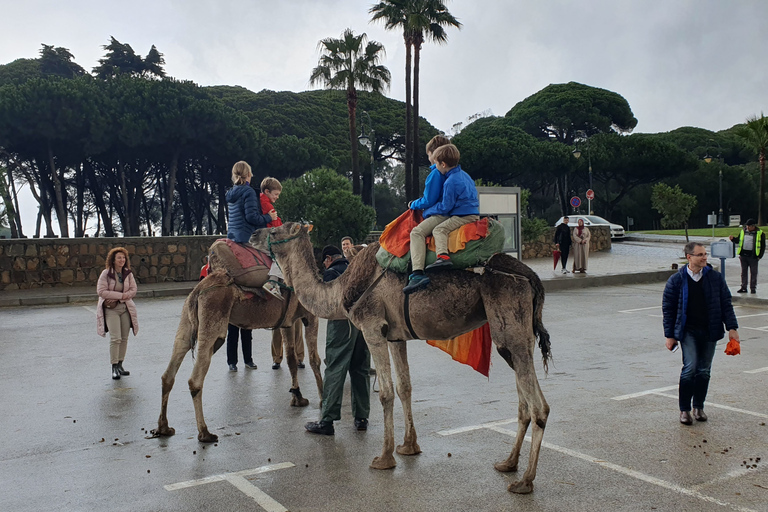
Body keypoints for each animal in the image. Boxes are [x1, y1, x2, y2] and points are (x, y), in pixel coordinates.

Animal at [152, 272, 322, 444]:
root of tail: (197, 290)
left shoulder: (287, 322)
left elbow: (291, 358)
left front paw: (298, 397)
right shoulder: (310, 314)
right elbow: (315, 360)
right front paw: (322, 401)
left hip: (186, 320)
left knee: (169, 371)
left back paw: (164, 428)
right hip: (212, 321)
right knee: (195, 379)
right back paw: (205, 433)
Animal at [252, 222, 552, 494]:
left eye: (275, 229)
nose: (253, 234)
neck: (340, 290)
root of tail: (530, 277)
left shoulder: (372, 327)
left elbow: (386, 393)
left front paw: (384, 457)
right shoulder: (396, 336)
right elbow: (404, 387)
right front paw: (408, 446)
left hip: (508, 327)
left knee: (539, 406)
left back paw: (525, 481)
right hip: (518, 333)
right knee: (523, 400)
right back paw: (508, 463)